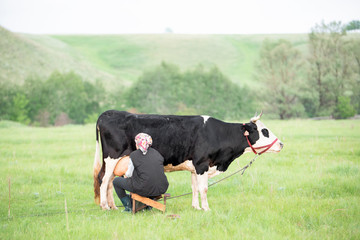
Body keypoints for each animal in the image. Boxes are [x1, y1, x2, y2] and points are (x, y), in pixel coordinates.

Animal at [93, 110, 284, 210]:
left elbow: (195, 188)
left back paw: (113, 206)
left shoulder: (194, 167)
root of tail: (107, 113)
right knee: (103, 180)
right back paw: (104, 206)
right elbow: (204, 189)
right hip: (111, 158)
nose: (281, 144)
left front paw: (196, 207)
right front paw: (206, 209)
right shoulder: (202, 164)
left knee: (109, 182)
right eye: (264, 131)